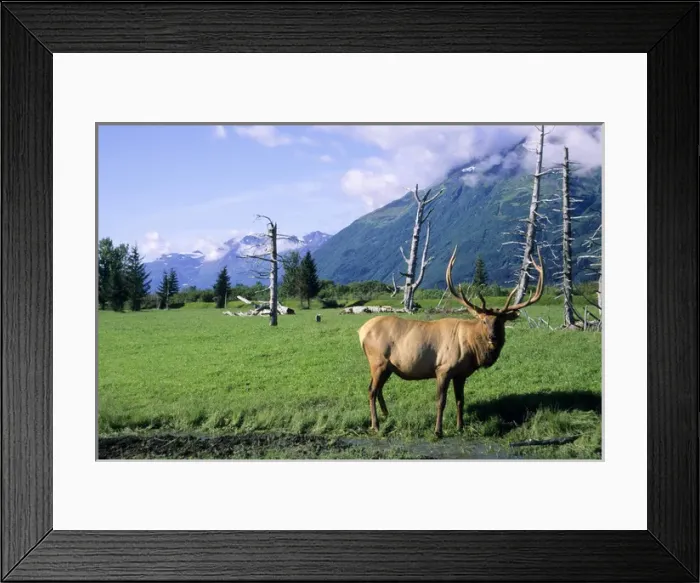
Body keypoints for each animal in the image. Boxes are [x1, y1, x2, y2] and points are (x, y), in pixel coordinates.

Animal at [358, 246, 544, 437]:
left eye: (500, 321)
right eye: (484, 321)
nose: (493, 337)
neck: (472, 350)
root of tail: (361, 331)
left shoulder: (461, 374)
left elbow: (460, 400)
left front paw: (460, 426)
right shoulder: (443, 369)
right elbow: (441, 401)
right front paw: (438, 431)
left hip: (388, 367)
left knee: (377, 389)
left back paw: (386, 415)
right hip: (378, 362)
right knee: (371, 390)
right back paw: (375, 425)